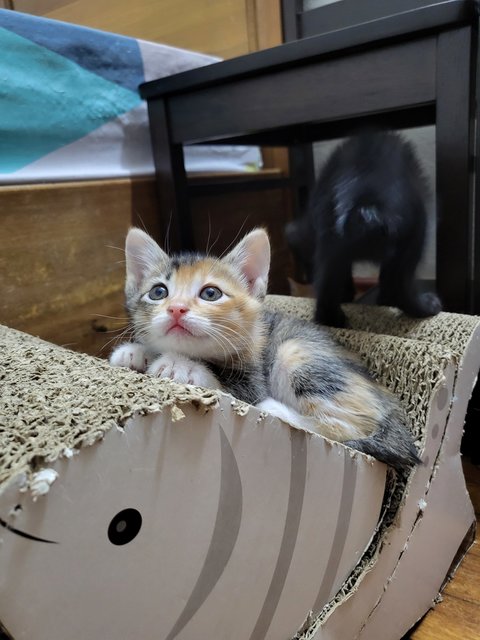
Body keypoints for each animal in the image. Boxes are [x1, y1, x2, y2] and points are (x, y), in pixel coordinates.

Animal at [109, 228, 420, 468]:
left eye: (210, 293)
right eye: (158, 292)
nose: (176, 308)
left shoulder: (253, 381)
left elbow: (228, 386)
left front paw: (180, 365)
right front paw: (135, 352)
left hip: (295, 353)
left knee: (353, 427)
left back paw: (278, 409)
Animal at [284, 131, 442, 330]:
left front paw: (346, 295)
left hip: (331, 243)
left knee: (327, 294)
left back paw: (334, 319)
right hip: (416, 234)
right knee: (397, 285)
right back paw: (424, 306)